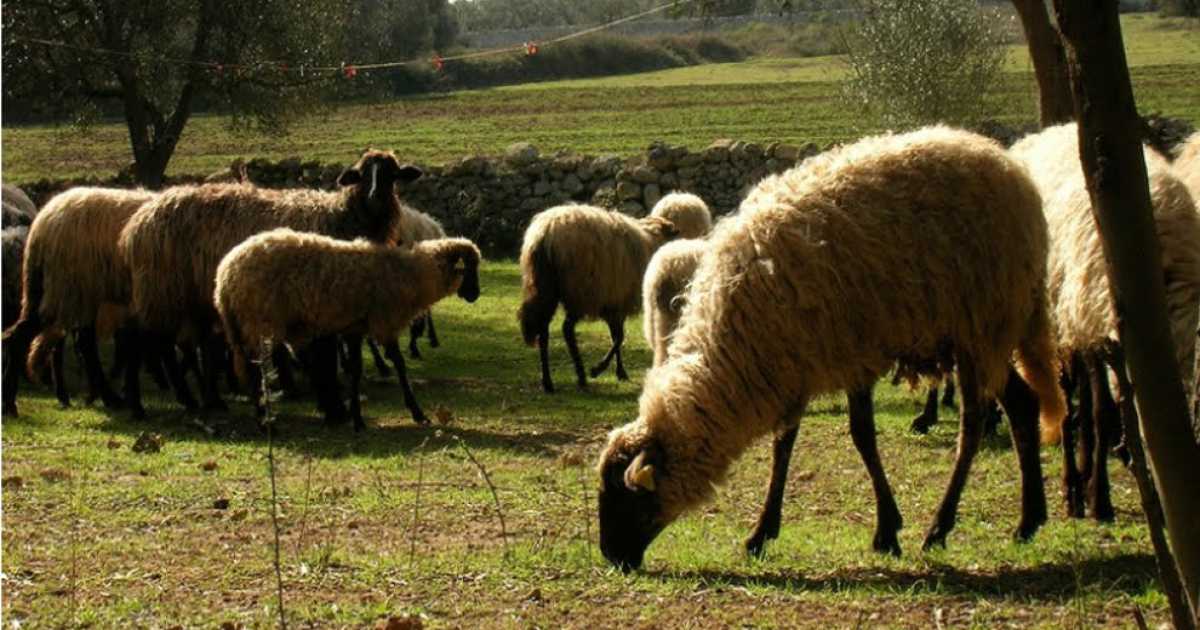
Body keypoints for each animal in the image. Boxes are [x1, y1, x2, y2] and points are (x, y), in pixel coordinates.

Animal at [118, 150, 422, 420]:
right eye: (362, 174)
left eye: (392, 174)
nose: (376, 197)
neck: (339, 217)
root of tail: (138, 222)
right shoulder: (320, 300)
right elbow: (324, 358)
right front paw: (334, 407)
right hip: (161, 289)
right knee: (141, 340)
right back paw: (140, 404)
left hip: (187, 297)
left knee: (180, 345)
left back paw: (204, 400)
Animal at [214, 228, 481, 430]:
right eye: (469, 269)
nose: (474, 295)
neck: (412, 273)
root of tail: (224, 275)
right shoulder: (383, 322)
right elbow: (400, 365)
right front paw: (417, 413)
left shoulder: (355, 328)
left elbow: (355, 370)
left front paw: (357, 418)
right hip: (257, 321)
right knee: (254, 369)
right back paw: (264, 421)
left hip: (245, 324)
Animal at [518, 204, 679, 393]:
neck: (652, 241)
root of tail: (544, 234)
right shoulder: (618, 301)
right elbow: (619, 338)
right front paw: (598, 369)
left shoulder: (613, 302)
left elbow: (616, 336)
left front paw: (620, 372)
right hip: (580, 291)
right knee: (567, 329)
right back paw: (581, 376)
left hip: (545, 288)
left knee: (543, 332)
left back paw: (547, 382)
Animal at [596, 126, 1066, 572]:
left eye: (625, 499)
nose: (612, 558)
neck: (734, 351)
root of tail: (1006, 164)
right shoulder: (794, 365)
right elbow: (784, 444)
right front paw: (762, 533)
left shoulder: (852, 354)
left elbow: (862, 437)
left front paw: (887, 531)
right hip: (983, 335)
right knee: (1022, 405)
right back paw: (1029, 521)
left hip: (980, 322)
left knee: (974, 424)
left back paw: (940, 527)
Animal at [1011, 123, 1200, 521]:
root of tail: (1057, 128)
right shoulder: (1102, 328)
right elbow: (1102, 412)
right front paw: (1099, 498)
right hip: (1060, 317)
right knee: (1069, 400)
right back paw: (1073, 484)